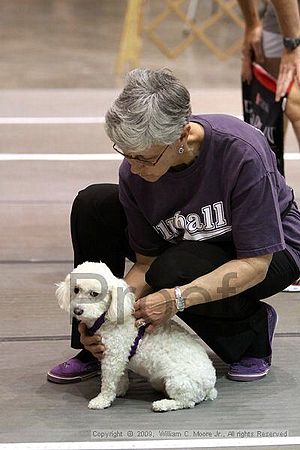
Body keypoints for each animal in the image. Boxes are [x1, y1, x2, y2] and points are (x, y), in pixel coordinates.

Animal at [55, 260, 216, 412]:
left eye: (94, 293)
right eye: (76, 290)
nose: (77, 311)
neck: (106, 318)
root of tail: (210, 386)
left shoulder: (113, 358)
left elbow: (108, 383)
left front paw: (102, 400)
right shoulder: (119, 358)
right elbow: (121, 377)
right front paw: (119, 390)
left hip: (178, 382)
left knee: (186, 402)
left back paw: (163, 404)